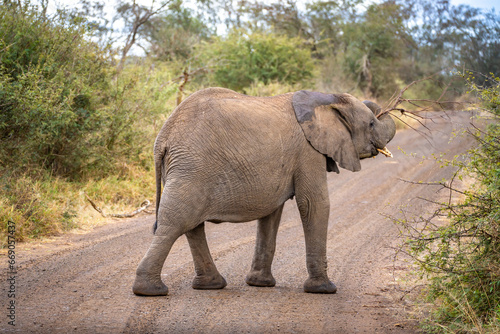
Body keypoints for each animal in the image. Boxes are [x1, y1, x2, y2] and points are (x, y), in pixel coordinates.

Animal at [132, 87, 394, 296]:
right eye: (371, 124)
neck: (325, 98)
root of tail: (163, 137)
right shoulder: (308, 152)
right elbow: (314, 203)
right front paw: (324, 289)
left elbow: (272, 213)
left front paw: (260, 284)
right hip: (192, 167)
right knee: (176, 222)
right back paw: (150, 291)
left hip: (186, 168)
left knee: (190, 226)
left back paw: (210, 285)